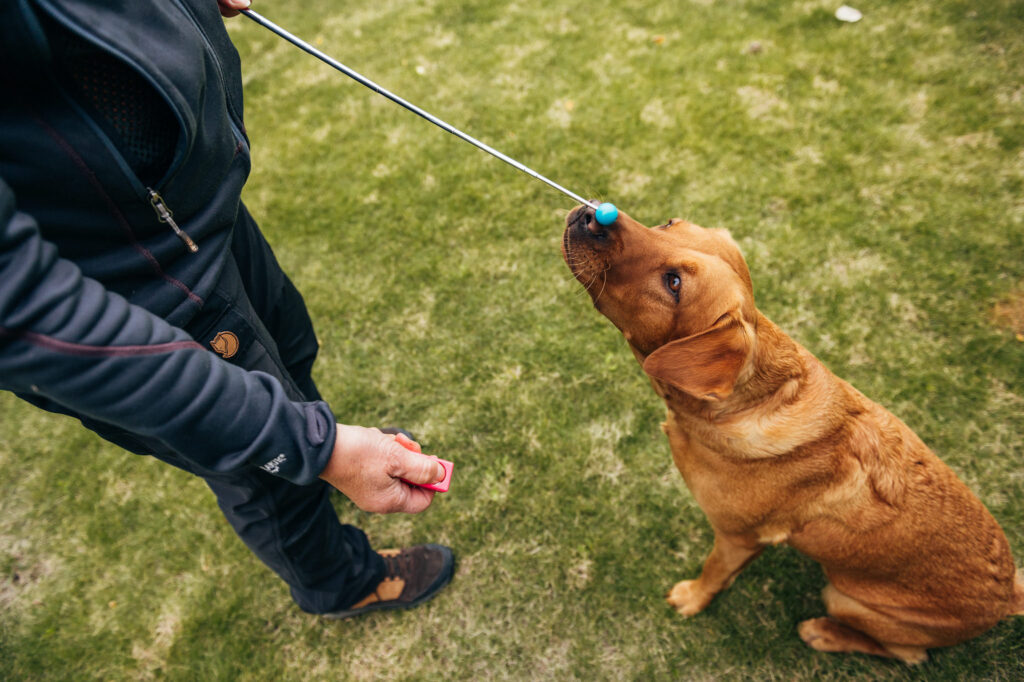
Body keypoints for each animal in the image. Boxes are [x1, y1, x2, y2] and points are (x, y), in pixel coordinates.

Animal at [565, 204, 1019, 659]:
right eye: (667, 224)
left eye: (673, 284)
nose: (589, 214)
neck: (747, 403)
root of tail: (1011, 597)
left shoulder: (737, 538)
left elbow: (714, 573)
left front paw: (692, 598)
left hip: (845, 598)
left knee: (906, 654)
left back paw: (824, 633)